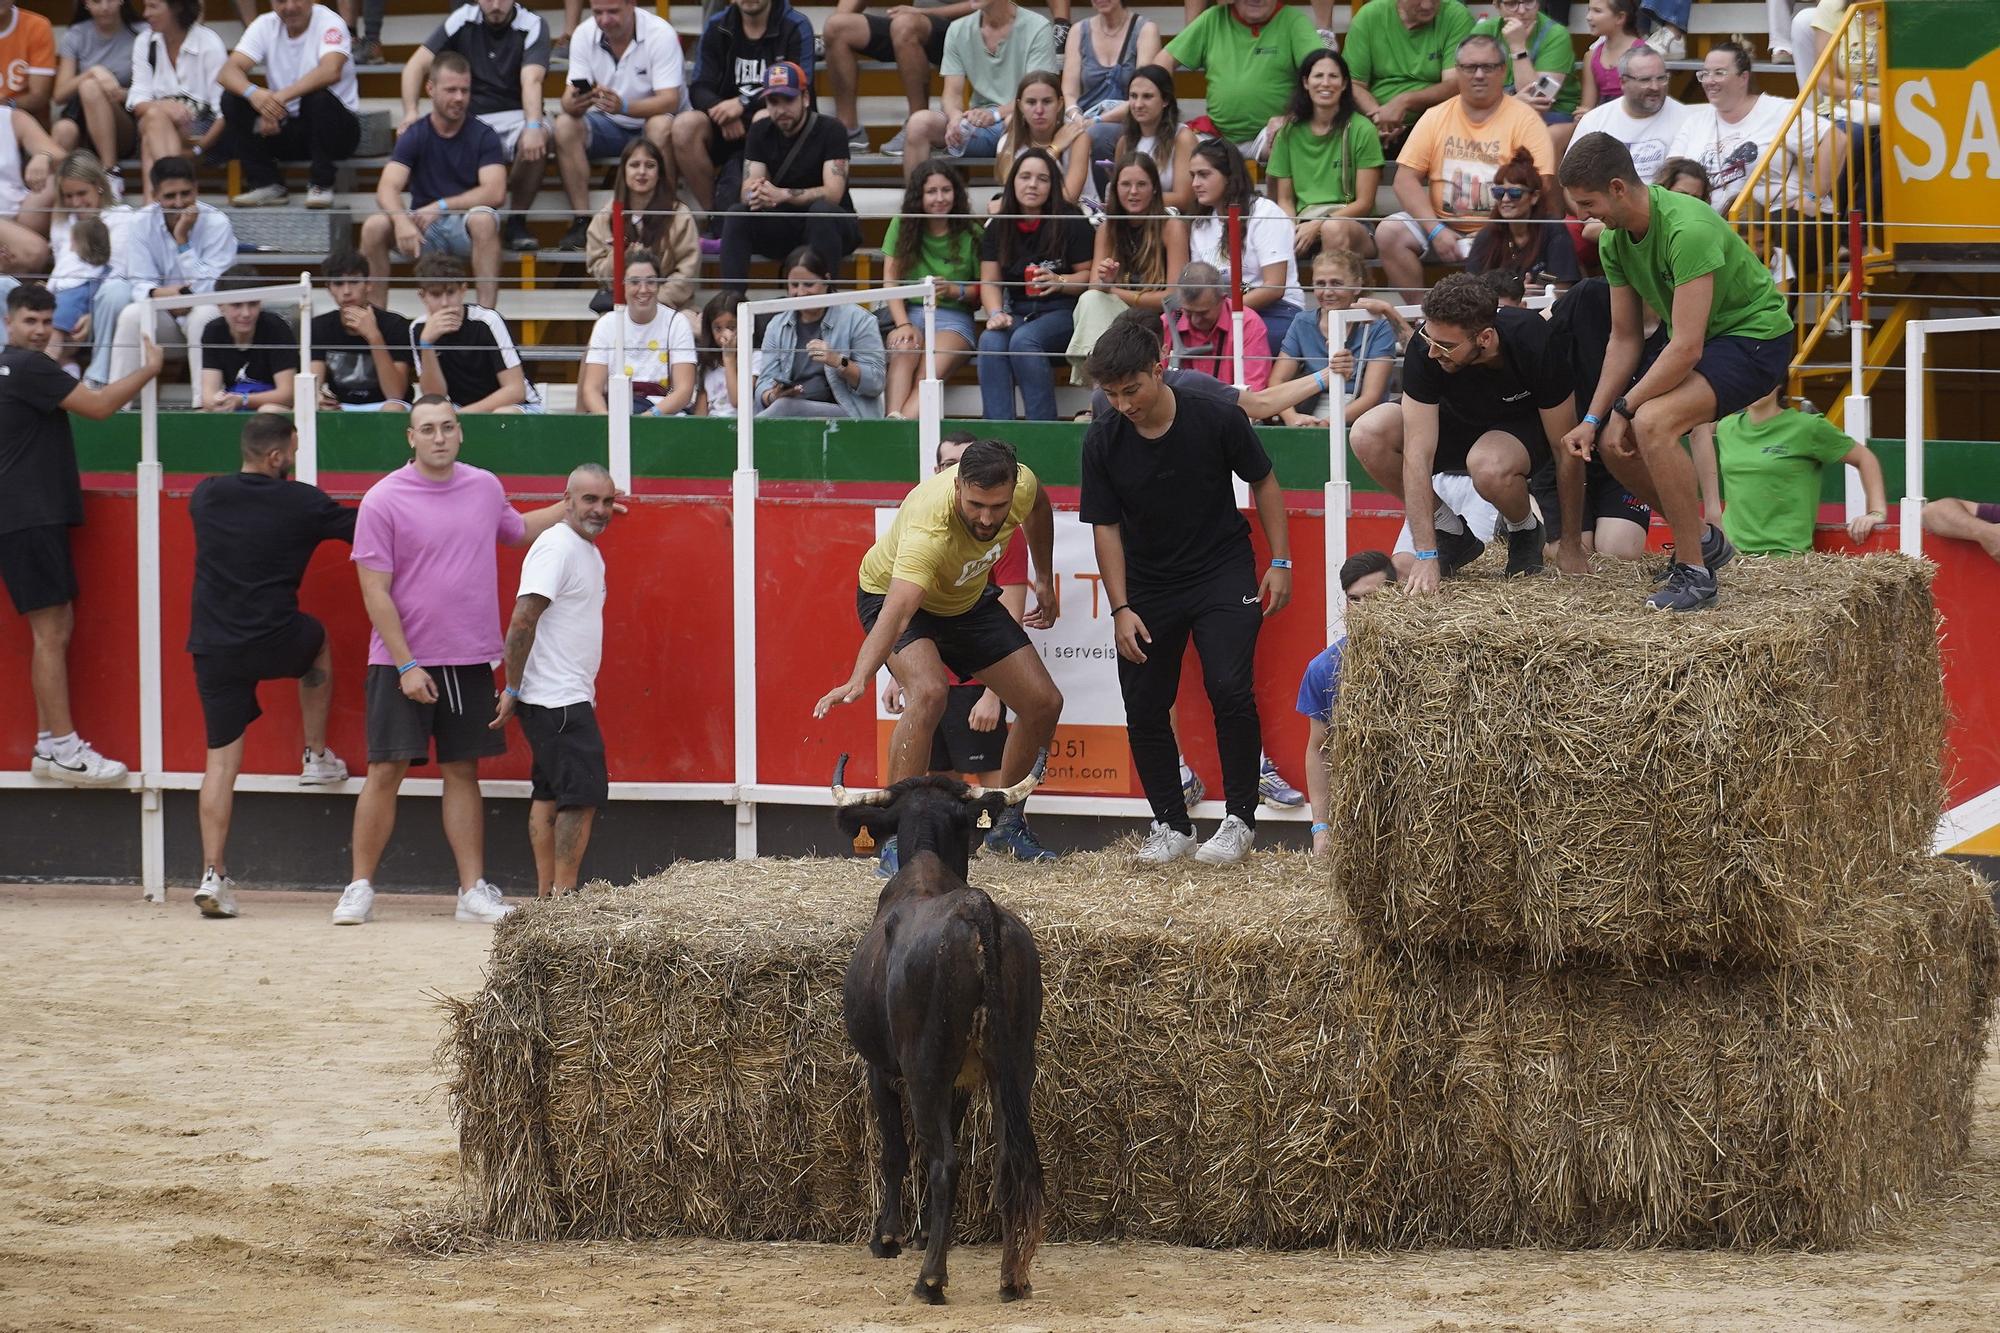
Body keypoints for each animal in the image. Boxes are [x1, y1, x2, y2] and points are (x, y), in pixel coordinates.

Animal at [828, 752, 1056, 1304]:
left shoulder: (883, 1069)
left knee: (943, 1160)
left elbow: (895, 1151)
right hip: (1013, 1063)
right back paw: (1012, 1276)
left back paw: (931, 1279)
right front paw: (925, 1231)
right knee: (1009, 1159)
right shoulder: (963, 1082)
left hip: (925, 1065)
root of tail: (978, 911)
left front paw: (889, 1236)